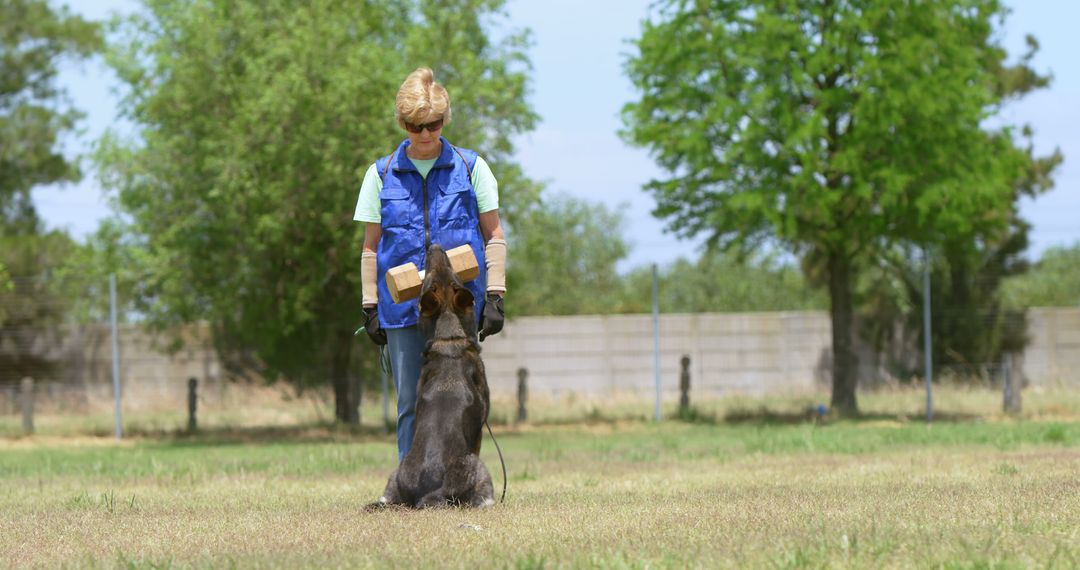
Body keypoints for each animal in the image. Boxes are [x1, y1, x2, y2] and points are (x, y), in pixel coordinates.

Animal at [369, 243, 492, 507]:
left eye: (450, 274)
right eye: (429, 276)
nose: (434, 245)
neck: (448, 337)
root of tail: (428, 494)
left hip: (395, 475)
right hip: (479, 467)